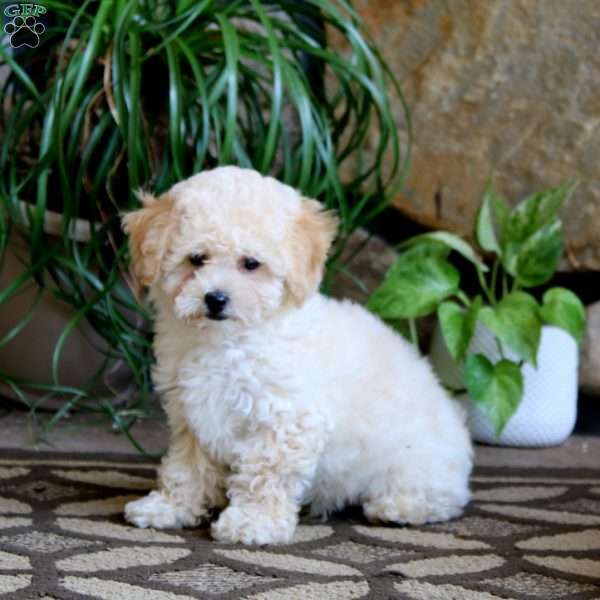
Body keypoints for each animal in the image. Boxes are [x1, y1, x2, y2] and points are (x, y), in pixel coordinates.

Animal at [119, 164, 472, 544]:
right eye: (196, 259)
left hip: (418, 463)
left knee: (442, 496)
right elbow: (186, 468)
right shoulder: (193, 418)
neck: (228, 342)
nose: (215, 298)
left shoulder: (285, 418)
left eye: (251, 264)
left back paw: (398, 507)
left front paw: (252, 522)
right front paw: (168, 508)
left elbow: (265, 473)